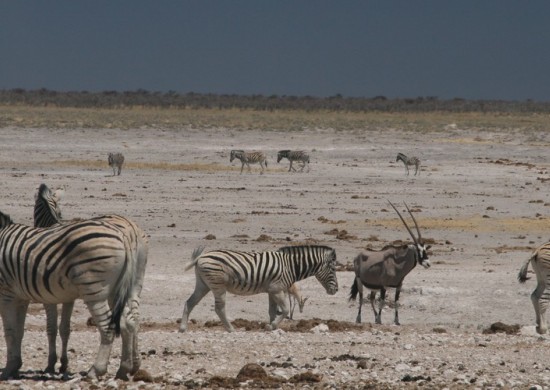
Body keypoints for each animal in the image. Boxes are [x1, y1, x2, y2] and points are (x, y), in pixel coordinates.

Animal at [32, 183, 149, 378]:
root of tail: (131, 229)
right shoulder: (67, 295)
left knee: (123, 320)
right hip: (135, 282)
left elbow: (53, 327)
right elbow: (64, 328)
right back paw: (133, 365)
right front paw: (62, 364)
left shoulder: (50, 295)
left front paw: (52, 364)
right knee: (134, 318)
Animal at [181, 244, 338, 332]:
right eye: (333, 269)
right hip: (218, 285)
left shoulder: (272, 291)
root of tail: (200, 257)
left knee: (190, 302)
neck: (291, 266)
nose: (336, 290)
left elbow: (272, 311)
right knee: (219, 308)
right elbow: (285, 310)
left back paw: (183, 328)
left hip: (203, 284)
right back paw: (231, 329)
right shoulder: (277, 289)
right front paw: (272, 326)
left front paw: (273, 326)